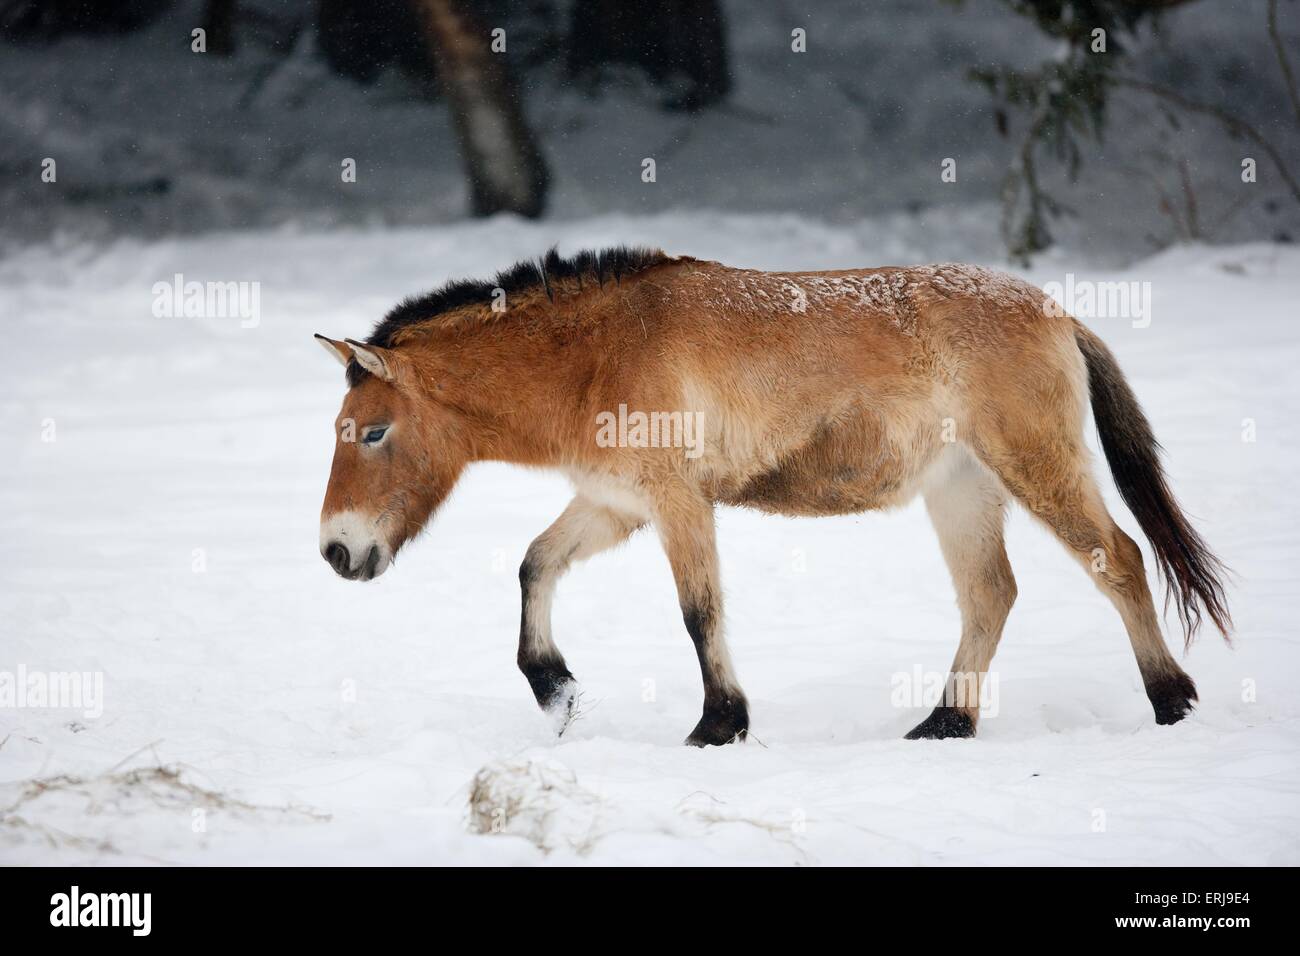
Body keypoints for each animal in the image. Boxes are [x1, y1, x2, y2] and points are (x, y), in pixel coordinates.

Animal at [314, 248, 1227, 749]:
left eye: (372, 431)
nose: (336, 550)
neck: (596, 357)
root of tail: (1059, 314)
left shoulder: (678, 503)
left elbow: (700, 613)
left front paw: (719, 723)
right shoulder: (614, 504)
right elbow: (534, 567)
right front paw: (558, 691)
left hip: (1034, 465)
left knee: (1119, 560)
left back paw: (1172, 701)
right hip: (962, 490)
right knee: (990, 595)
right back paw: (945, 723)